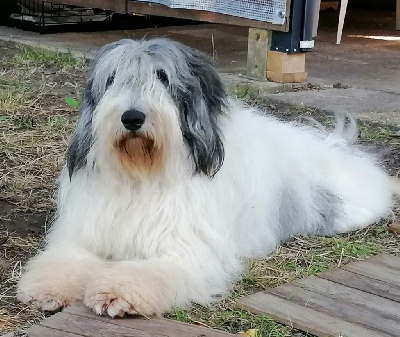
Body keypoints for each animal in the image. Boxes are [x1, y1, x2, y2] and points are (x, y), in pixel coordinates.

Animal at [17, 38, 396, 316]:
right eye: (113, 80)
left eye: (163, 78)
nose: (132, 118)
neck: (142, 173)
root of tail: (335, 145)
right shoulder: (84, 234)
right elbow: (67, 259)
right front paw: (49, 287)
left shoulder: (187, 250)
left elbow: (149, 271)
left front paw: (117, 292)